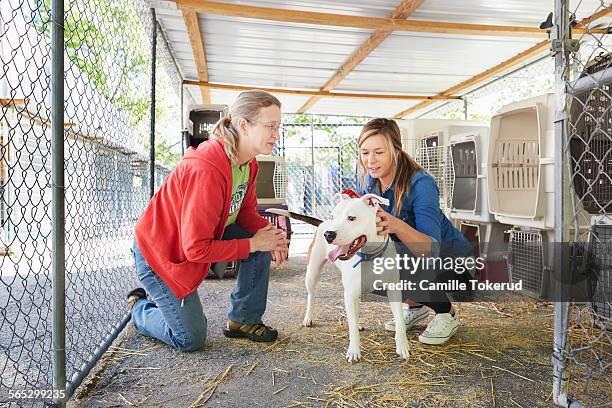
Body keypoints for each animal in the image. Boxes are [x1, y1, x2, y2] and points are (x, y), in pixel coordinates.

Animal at [270, 194, 408, 364]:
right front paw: (354, 350)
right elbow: (352, 328)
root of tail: (322, 223)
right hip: (312, 272)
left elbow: (400, 320)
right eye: (333, 216)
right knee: (311, 295)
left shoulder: (393, 289)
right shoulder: (349, 293)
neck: (369, 256)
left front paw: (403, 347)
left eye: (351, 218)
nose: (328, 234)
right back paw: (308, 317)